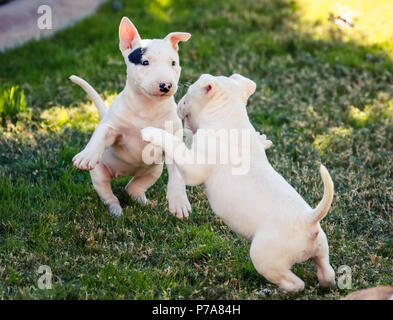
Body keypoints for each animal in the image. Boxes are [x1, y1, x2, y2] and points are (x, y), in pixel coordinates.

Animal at [71, 16, 193, 218]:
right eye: (145, 62)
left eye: (173, 63)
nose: (166, 85)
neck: (148, 106)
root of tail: (122, 174)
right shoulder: (112, 127)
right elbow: (101, 133)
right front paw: (86, 156)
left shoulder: (171, 135)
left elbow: (176, 171)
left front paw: (179, 201)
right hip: (99, 174)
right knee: (108, 194)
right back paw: (116, 211)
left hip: (153, 170)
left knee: (133, 187)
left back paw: (144, 202)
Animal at [140, 73, 334, 292]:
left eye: (188, 93)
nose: (178, 104)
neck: (228, 115)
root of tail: (308, 220)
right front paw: (262, 139)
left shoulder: (194, 168)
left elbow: (177, 146)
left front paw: (153, 132)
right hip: (322, 249)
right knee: (327, 273)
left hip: (264, 257)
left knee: (296, 284)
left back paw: (273, 290)